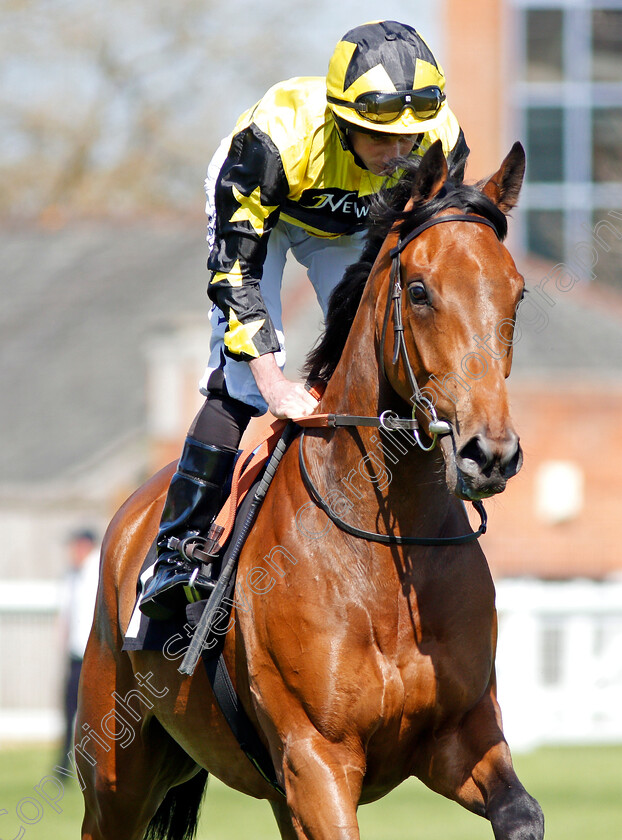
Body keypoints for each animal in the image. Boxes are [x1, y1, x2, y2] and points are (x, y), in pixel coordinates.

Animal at [75, 143, 544, 840]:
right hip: (118, 775)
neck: (383, 559)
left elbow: (521, 814)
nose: (489, 453)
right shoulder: (316, 760)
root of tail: (132, 515)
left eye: (516, 291)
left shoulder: (462, 737)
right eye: (419, 290)